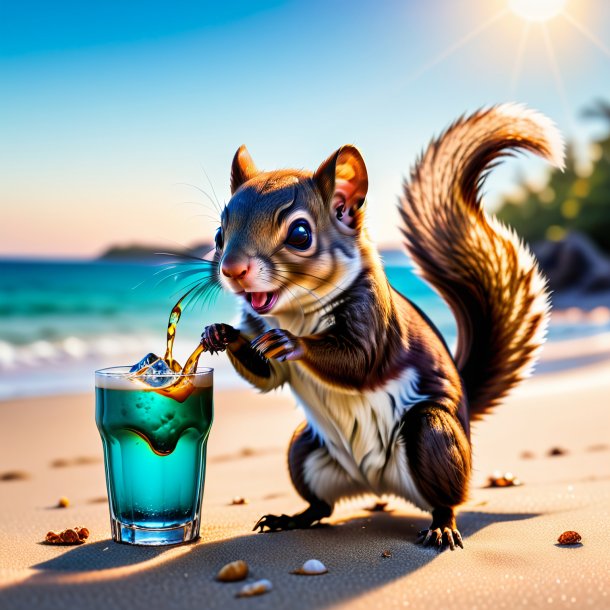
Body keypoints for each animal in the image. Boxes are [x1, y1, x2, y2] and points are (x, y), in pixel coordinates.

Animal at [202, 103, 564, 548]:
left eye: (300, 233)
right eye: (219, 233)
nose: (233, 270)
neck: (295, 311)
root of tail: (374, 483)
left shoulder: (377, 322)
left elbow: (360, 363)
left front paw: (293, 343)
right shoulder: (259, 327)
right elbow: (268, 376)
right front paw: (221, 334)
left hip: (432, 434)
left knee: (447, 498)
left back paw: (442, 525)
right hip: (303, 451)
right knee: (320, 506)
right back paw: (289, 517)